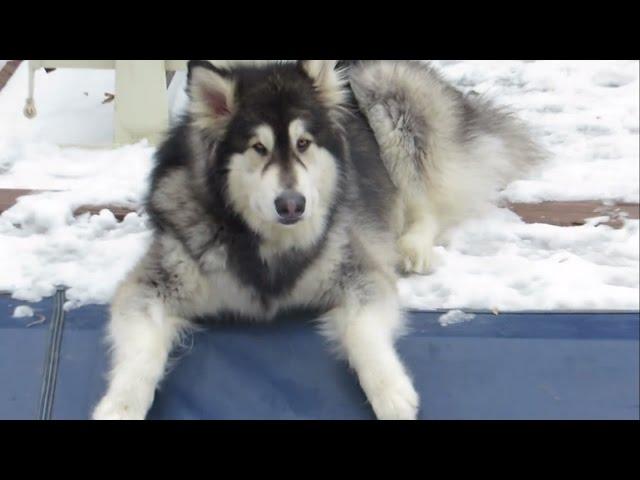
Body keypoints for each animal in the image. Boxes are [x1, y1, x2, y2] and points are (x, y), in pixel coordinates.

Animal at [91, 60, 544, 420]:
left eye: (304, 143)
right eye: (258, 148)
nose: (292, 204)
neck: (266, 241)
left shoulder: (358, 269)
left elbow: (363, 331)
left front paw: (391, 392)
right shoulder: (155, 280)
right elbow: (140, 352)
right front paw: (119, 406)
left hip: (389, 96)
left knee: (425, 199)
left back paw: (414, 246)